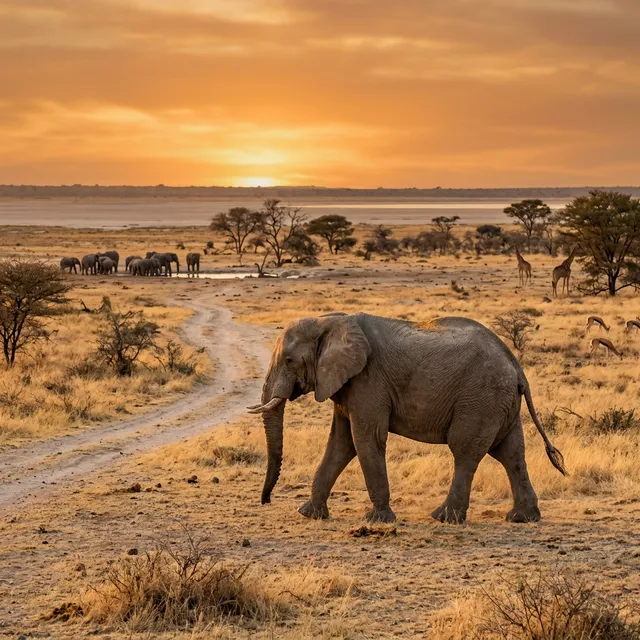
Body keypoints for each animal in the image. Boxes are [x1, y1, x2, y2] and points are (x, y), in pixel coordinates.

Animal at [249, 313, 567, 525]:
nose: (266, 501)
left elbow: (365, 440)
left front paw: (377, 520)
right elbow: (341, 443)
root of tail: (515, 365)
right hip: (500, 402)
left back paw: (444, 518)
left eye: (289, 361)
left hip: (481, 398)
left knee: (466, 452)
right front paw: (309, 514)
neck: (329, 320)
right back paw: (522, 518)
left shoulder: (368, 381)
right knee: (511, 453)